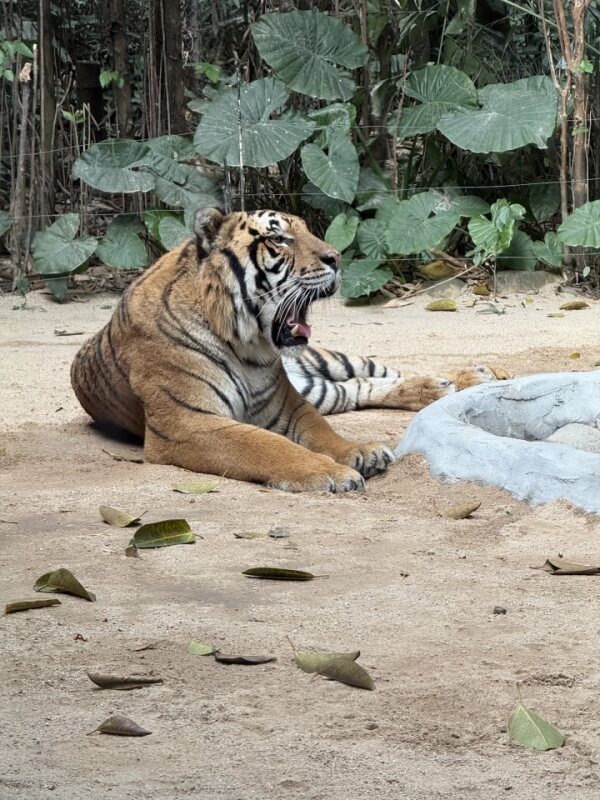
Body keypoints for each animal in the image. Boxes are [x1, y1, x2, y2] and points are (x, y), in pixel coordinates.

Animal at [71, 208, 492, 493]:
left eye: (308, 232)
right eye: (280, 239)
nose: (336, 257)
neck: (244, 345)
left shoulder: (286, 404)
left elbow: (321, 431)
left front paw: (357, 451)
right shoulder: (188, 423)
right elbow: (268, 446)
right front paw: (331, 472)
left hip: (325, 361)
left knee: (376, 373)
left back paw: (469, 378)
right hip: (322, 388)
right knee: (356, 389)